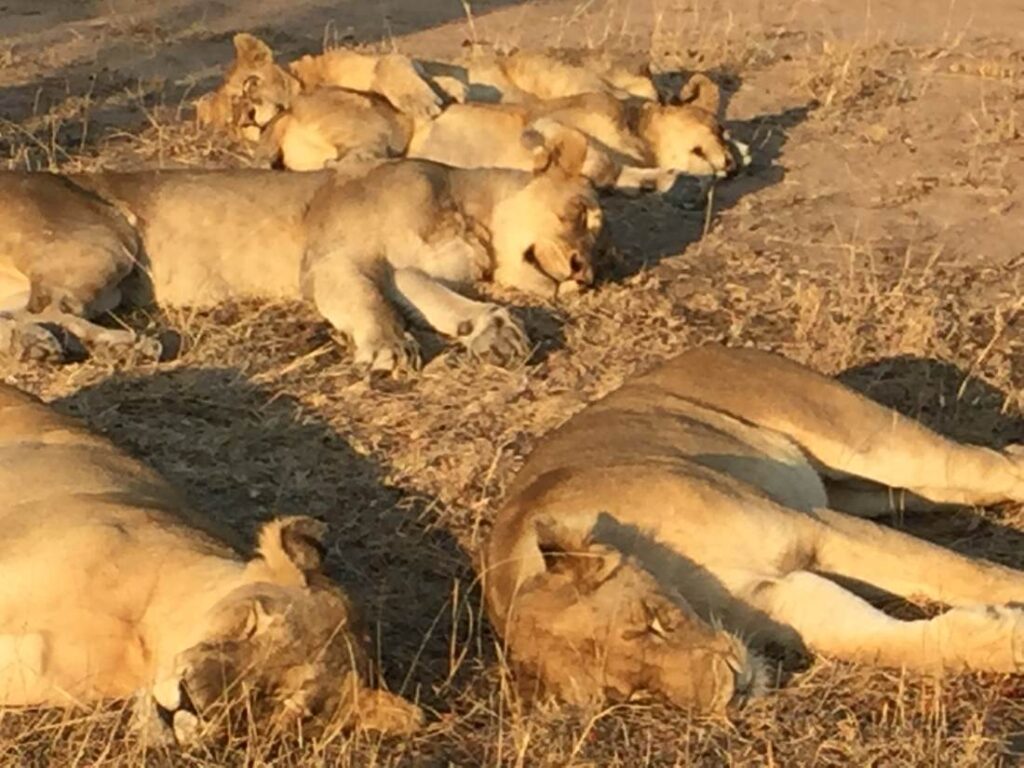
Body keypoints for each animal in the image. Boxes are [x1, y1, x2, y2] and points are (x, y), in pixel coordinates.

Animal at [0, 132, 600, 370]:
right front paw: (389, 347)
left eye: (601, 243)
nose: (585, 272)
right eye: (581, 215)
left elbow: (442, 300)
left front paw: (493, 330)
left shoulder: (404, 269)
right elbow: (369, 302)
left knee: (23, 314)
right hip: (106, 242)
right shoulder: (333, 261)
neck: (472, 219)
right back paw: (126, 346)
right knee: (53, 308)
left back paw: (38, 345)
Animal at [484, 344, 1024, 714]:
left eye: (651, 621)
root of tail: (711, 347)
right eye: (636, 692)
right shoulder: (787, 598)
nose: (733, 691)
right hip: (864, 489)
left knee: (995, 463)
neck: (688, 586)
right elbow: (891, 642)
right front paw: (1001, 636)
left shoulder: (811, 529)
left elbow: (964, 571)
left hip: (872, 443)